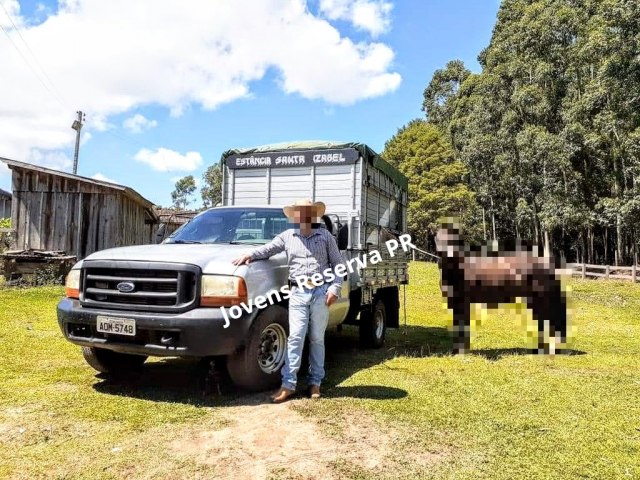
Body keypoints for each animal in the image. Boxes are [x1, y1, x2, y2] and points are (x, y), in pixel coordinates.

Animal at [438, 221, 568, 352]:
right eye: (439, 236)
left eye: (454, 238)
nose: (448, 252)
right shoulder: (454, 302)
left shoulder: (463, 301)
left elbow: (462, 325)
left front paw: (461, 350)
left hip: (541, 297)